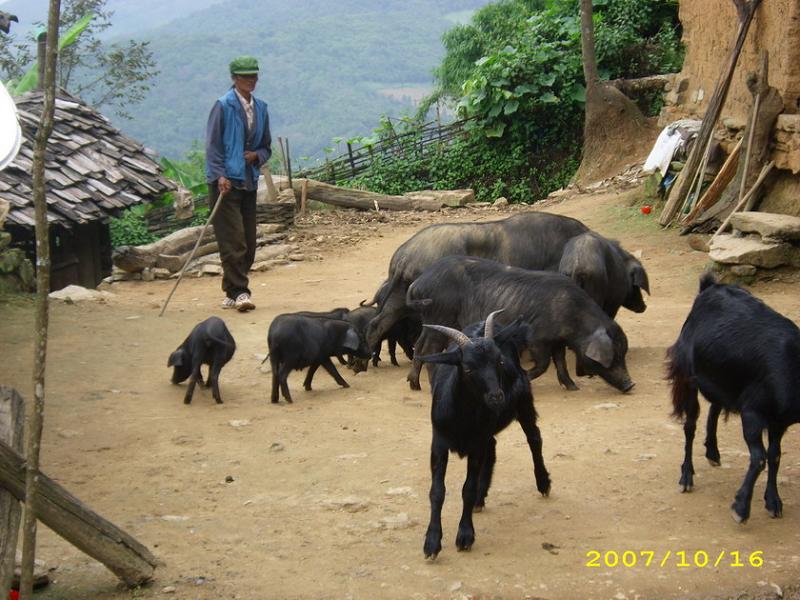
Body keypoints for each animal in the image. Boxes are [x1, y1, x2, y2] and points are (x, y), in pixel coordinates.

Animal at [418, 312, 552, 560]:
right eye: (468, 368)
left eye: (499, 361)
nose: (497, 397)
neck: (462, 418)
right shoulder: (439, 444)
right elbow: (437, 491)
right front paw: (432, 542)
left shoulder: (476, 445)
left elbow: (467, 489)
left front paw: (465, 536)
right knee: (494, 447)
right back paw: (481, 498)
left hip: (523, 403)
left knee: (534, 438)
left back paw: (543, 482)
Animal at [664, 274, 800, 524]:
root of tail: (709, 287)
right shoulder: (753, 412)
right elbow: (760, 458)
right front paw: (741, 508)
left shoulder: (780, 421)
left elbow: (774, 456)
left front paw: (773, 501)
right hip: (688, 376)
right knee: (690, 425)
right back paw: (687, 476)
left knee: (715, 407)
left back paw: (712, 452)